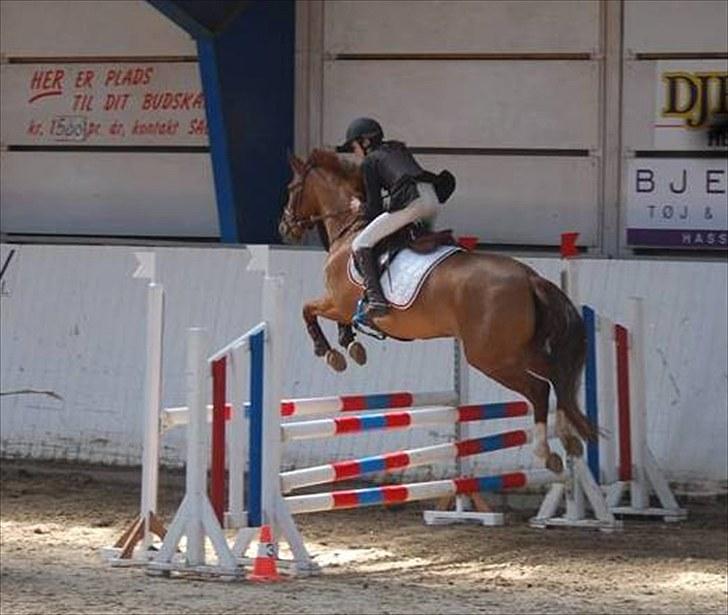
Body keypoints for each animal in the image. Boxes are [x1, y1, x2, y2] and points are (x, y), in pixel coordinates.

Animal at [279, 149, 596, 473]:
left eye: (291, 189)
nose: (284, 227)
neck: (349, 229)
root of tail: (530, 277)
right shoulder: (340, 305)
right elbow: (330, 318)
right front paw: (350, 344)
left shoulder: (337, 302)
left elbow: (308, 310)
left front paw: (330, 351)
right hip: (520, 349)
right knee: (558, 378)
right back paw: (569, 440)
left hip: (491, 357)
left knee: (540, 388)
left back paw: (545, 452)